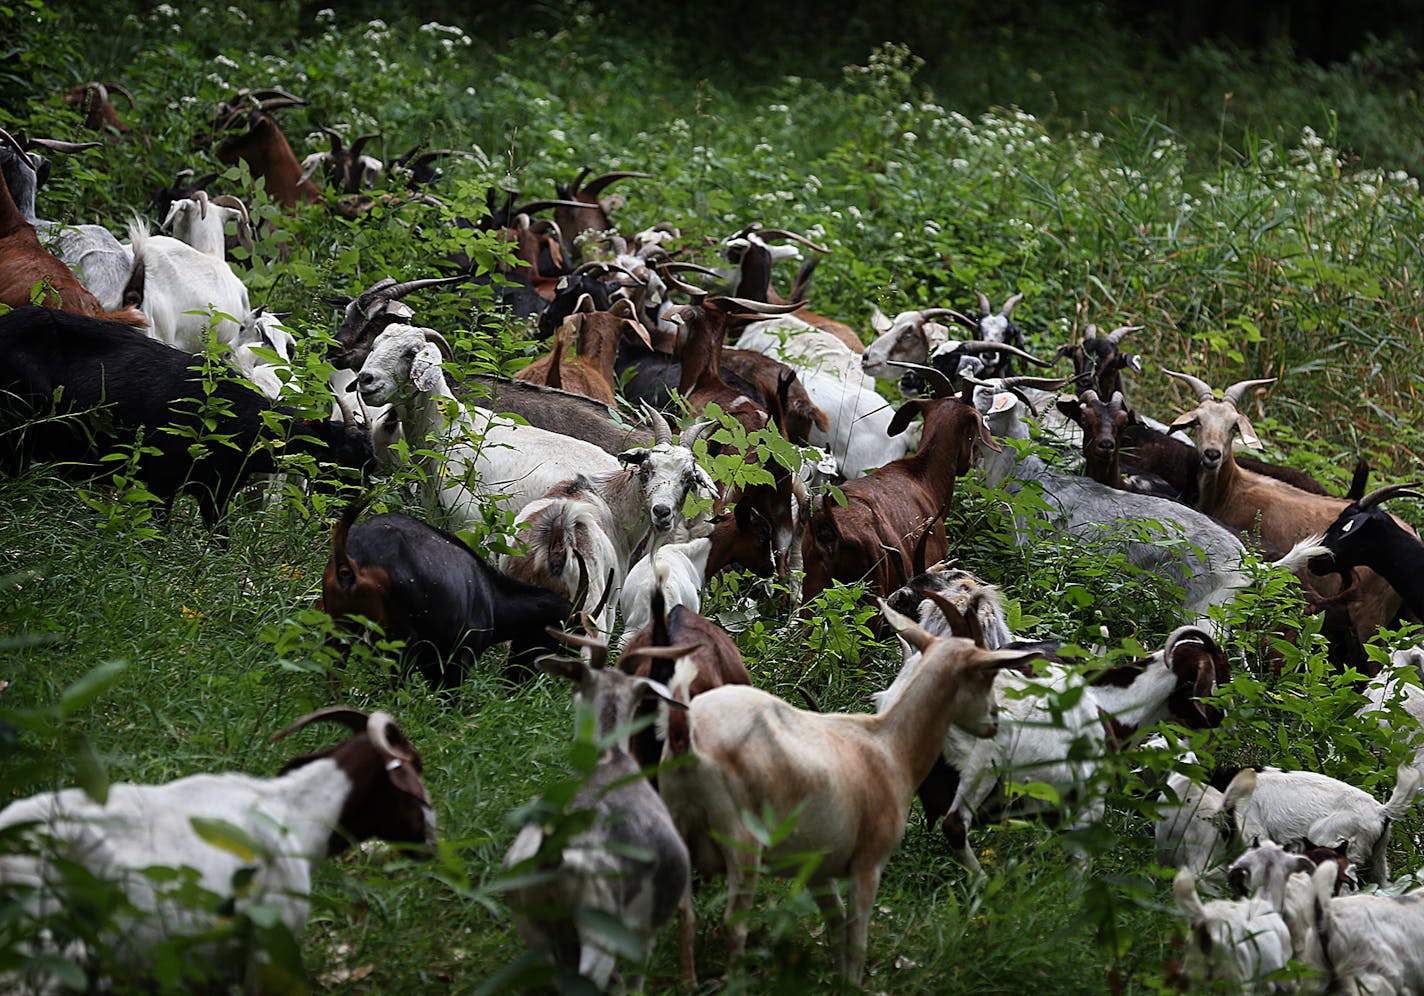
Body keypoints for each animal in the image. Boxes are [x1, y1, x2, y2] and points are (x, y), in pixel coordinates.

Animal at [0, 307, 373, 530]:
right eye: (342, 456)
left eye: (372, 462)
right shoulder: (161, 483)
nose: (356, 506)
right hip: (17, 430)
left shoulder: (215, 492)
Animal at [318, 507, 572, 686]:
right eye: (562, 634)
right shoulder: (458, 659)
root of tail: (349, 563)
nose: (513, 683)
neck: (493, 596)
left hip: (338, 633)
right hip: (400, 643)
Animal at [657, 595, 1048, 986]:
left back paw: (690, 983)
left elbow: (837, 925)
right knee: (733, 925)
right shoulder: (868, 861)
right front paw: (853, 983)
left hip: (678, 824)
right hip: (742, 841)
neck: (890, 746)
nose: (994, 721)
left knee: (684, 914)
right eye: (987, 674)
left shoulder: (817, 867)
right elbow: (856, 934)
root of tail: (686, 738)